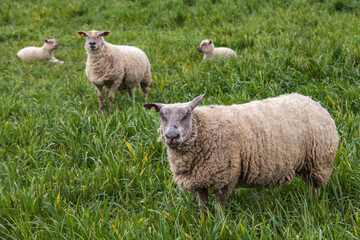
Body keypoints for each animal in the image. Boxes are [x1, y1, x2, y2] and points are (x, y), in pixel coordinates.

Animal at [144, 93, 340, 214]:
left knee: (314, 188)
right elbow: (203, 206)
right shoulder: (200, 180)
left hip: (319, 161)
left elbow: (220, 206)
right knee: (309, 185)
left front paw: (220, 226)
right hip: (307, 164)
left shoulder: (224, 177)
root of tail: (314, 102)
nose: (172, 136)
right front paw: (204, 225)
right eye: (161, 115)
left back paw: (312, 208)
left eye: (188, 113)